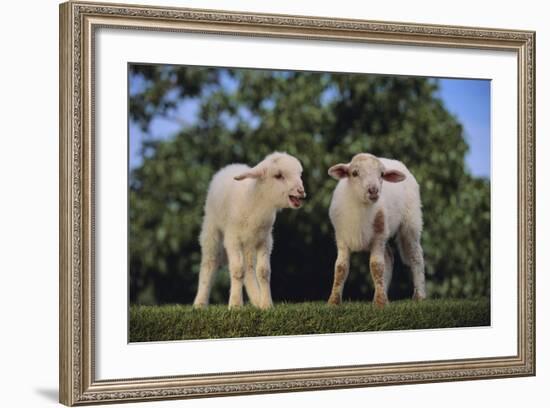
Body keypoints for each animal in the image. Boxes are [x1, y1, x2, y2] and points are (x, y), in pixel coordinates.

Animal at [194, 153, 306, 310]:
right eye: (278, 175)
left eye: (299, 174)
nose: (301, 191)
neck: (255, 202)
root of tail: (232, 165)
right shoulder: (232, 239)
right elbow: (237, 270)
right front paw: (235, 305)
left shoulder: (265, 240)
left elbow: (263, 271)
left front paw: (266, 305)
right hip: (212, 228)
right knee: (209, 262)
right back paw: (200, 303)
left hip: (249, 242)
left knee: (249, 268)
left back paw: (256, 300)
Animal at [328, 155, 426, 308]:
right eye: (354, 173)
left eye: (382, 174)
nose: (373, 190)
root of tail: (395, 161)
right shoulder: (341, 238)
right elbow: (340, 268)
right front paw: (333, 302)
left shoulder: (378, 237)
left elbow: (377, 266)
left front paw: (381, 303)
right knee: (389, 257)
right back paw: (381, 294)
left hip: (411, 222)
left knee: (415, 256)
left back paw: (420, 296)